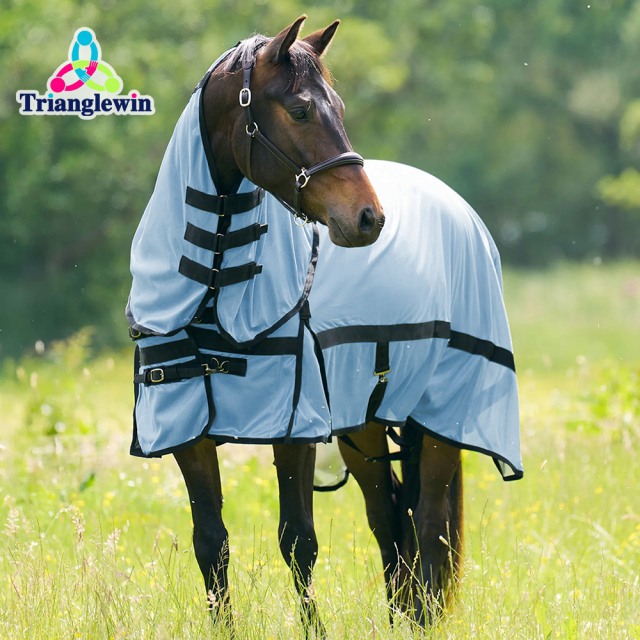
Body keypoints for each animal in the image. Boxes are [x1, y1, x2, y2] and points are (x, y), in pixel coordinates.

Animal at [126, 15, 522, 634]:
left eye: (336, 106)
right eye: (300, 110)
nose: (369, 218)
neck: (214, 282)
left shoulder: (293, 425)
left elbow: (298, 541)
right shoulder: (187, 426)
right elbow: (210, 542)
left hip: (438, 415)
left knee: (429, 524)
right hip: (364, 426)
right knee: (390, 522)